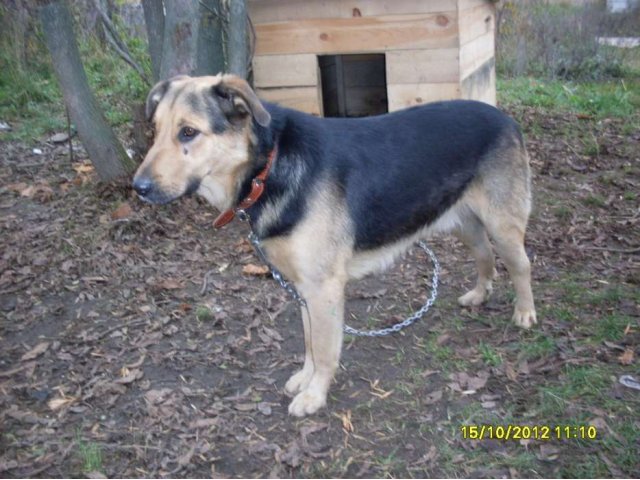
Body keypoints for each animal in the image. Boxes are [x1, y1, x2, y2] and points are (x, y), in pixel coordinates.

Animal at [132, 73, 536, 414]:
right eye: (156, 131)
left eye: (188, 132)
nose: (138, 188)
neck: (269, 166)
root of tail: (503, 117)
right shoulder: (303, 288)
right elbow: (311, 344)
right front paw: (305, 379)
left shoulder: (324, 288)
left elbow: (325, 350)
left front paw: (315, 395)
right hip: (461, 221)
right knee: (485, 255)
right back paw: (480, 293)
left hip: (501, 224)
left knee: (521, 265)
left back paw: (525, 313)